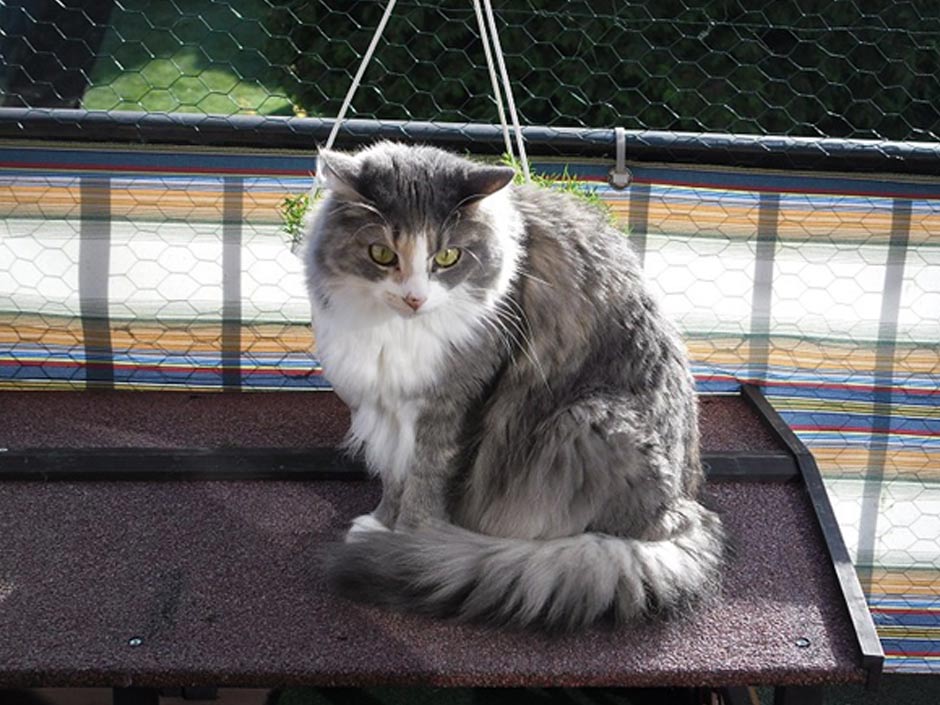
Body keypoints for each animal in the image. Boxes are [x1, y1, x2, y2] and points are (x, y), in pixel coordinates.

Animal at [304, 140, 724, 628]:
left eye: (447, 258)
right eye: (382, 255)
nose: (414, 298)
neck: (394, 329)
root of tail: (687, 510)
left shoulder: (450, 407)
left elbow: (424, 482)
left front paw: (404, 545)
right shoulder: (387, 407)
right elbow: (394, 478)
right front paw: (380, 522)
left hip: (588, 421)